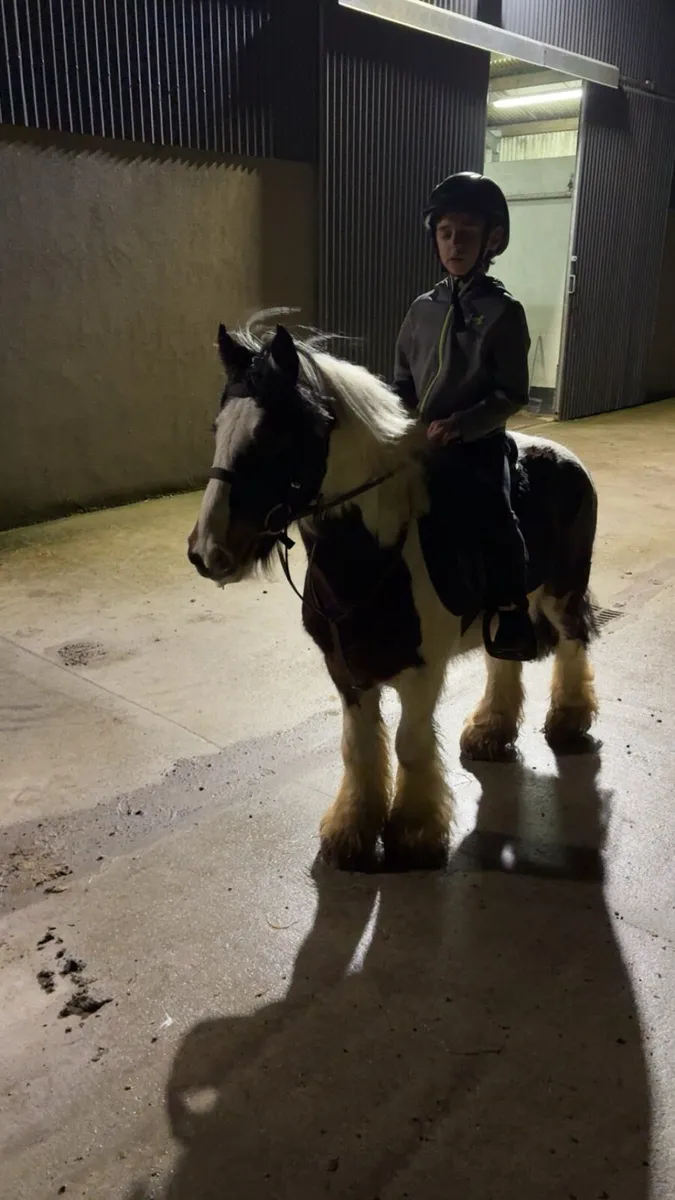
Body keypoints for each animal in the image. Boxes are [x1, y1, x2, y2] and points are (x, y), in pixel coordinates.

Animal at [187, 317, 599, 871]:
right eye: (219, 430)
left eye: (274, 437)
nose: (207, 552)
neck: (373, 556)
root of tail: (569, 459)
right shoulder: (345, 670)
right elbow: (360, 748)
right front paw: (351, 832)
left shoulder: (422, 671)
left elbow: (409, 743)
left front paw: (414, 833)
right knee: (505, 661)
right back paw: (490, 731)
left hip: (561, 592)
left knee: (573, 643)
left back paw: (569, 721)